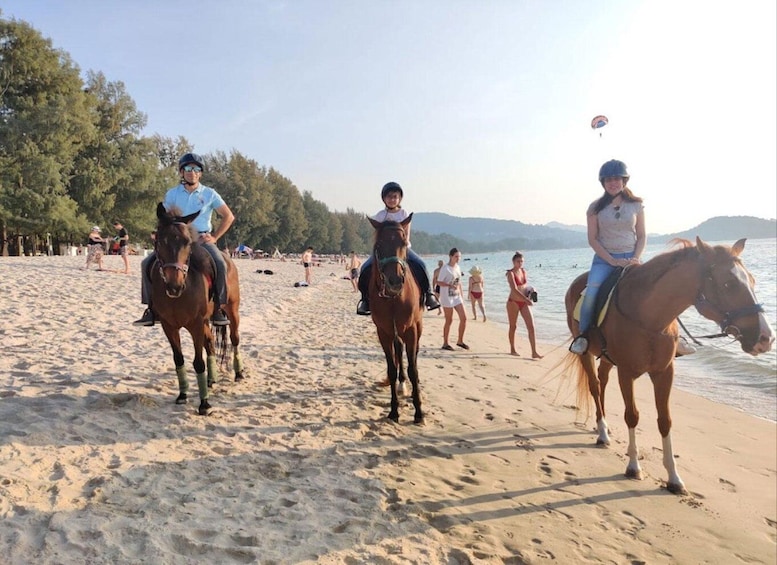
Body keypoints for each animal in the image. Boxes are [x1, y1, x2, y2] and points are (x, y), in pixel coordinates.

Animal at [152, 203, 242, 414]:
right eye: (160, 241)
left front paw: (204, 403)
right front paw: (182, 394)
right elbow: (179, 359)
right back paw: (211, 379)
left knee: (234, 339)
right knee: (210, 344)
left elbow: (198, 362)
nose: (174, 286)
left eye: (187, 242)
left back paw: (239, 373)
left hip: (232, 311)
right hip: (206, 322)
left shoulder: (196, 324)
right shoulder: (169, 326)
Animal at [366, 216, 422, 424]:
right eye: (379, 245)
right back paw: (401, 383)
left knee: (413, 355)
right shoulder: (384, 332)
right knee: (399, 352)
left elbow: (414, 369)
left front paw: (419, 412)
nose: (395, 281)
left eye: (404, 243)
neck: (393, 298)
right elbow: (391, 368)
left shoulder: (411, 330)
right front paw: (394, 411)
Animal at [564, 238, 768, 494]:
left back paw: (605, 427)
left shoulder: (664, 372)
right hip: (586, 354)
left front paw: (673, 477)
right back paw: (602, 432)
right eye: (729, 284)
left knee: (602, 383)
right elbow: (632, 415)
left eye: (752, 280)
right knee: (594, 385)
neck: (649, 318)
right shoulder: (626, 373)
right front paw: (634, 466)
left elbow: (665, 421)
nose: (765, 338)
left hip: (608, 360)